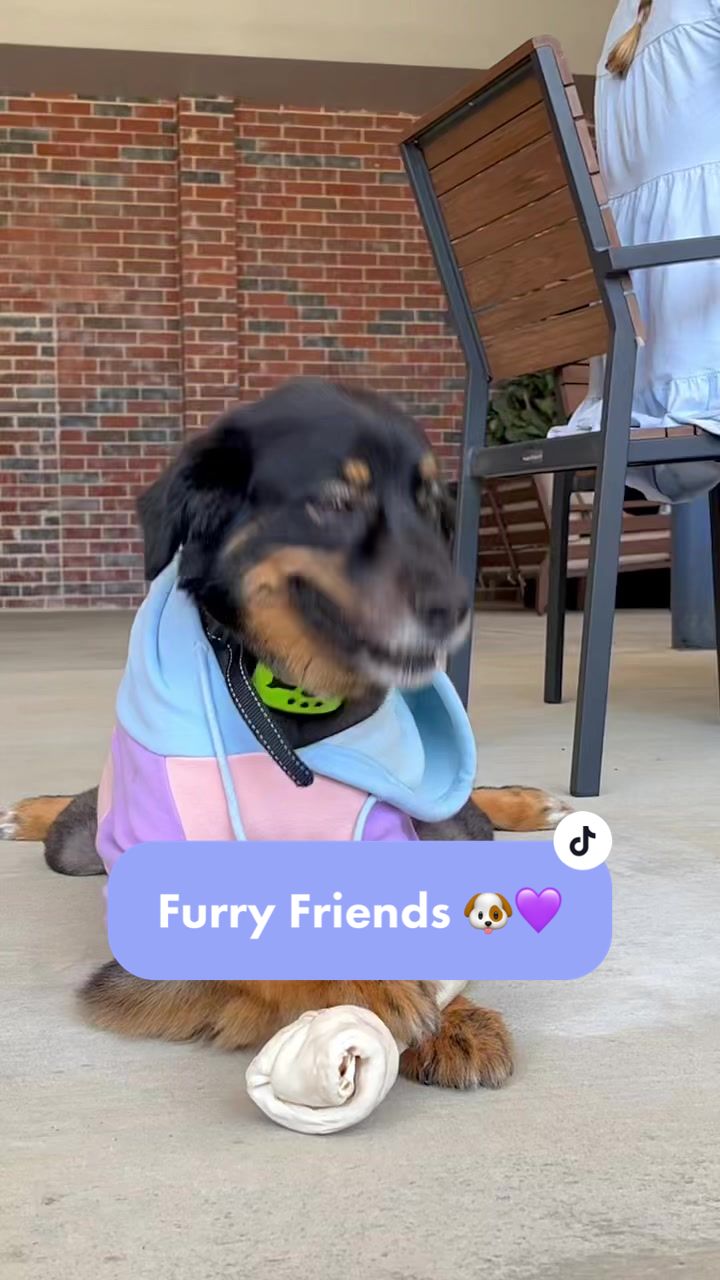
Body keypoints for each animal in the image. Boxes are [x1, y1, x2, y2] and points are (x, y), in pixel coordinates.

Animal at [1, 379, 571, 1091]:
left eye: (431, 507)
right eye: (335, 501)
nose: (455, 609)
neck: (284, 706)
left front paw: (455, 1018)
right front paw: (373, 984)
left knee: (466, 811)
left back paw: (531, 803)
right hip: (76, 847)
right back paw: (29, 812)